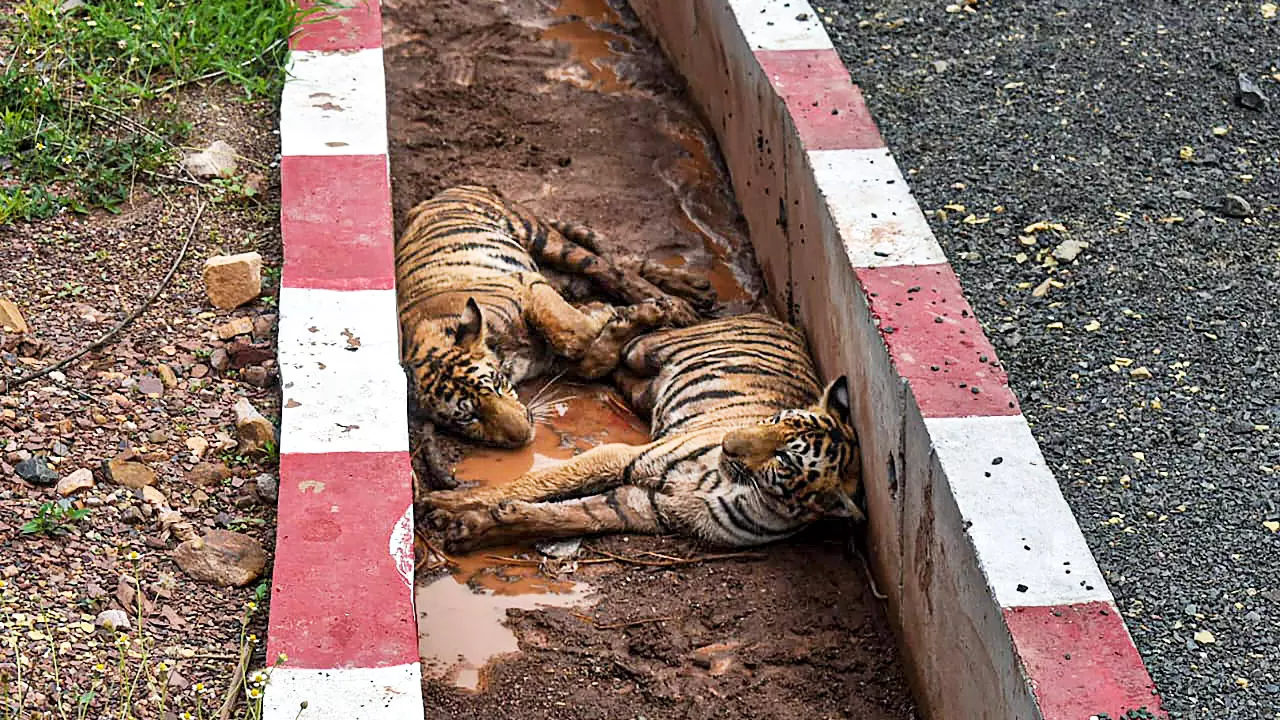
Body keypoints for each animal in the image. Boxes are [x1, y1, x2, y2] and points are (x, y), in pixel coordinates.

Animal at [397, 185, 715, 474]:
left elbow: (574, 333)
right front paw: (616, 317)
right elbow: (593, 358)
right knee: (619, 262)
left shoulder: (526, 284)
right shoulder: (552, 358)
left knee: (607, 267)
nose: (525, 434)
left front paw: (611, 312)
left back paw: (680, 303)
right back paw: (690, 292)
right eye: (468, 417)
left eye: (497, 384)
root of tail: (449, 190)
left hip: (541, 239)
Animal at [423, 313, 863, 550]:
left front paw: (476, 526)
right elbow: (536, 482)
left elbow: (568, 516)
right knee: (604, 357)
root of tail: (775, 318)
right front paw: (446, 502)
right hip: (649, 350)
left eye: (785, 458)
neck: (729, 484)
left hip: (646, 390)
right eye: (773, 421)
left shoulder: (645, 508)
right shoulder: (624, 455)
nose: (728, 444)